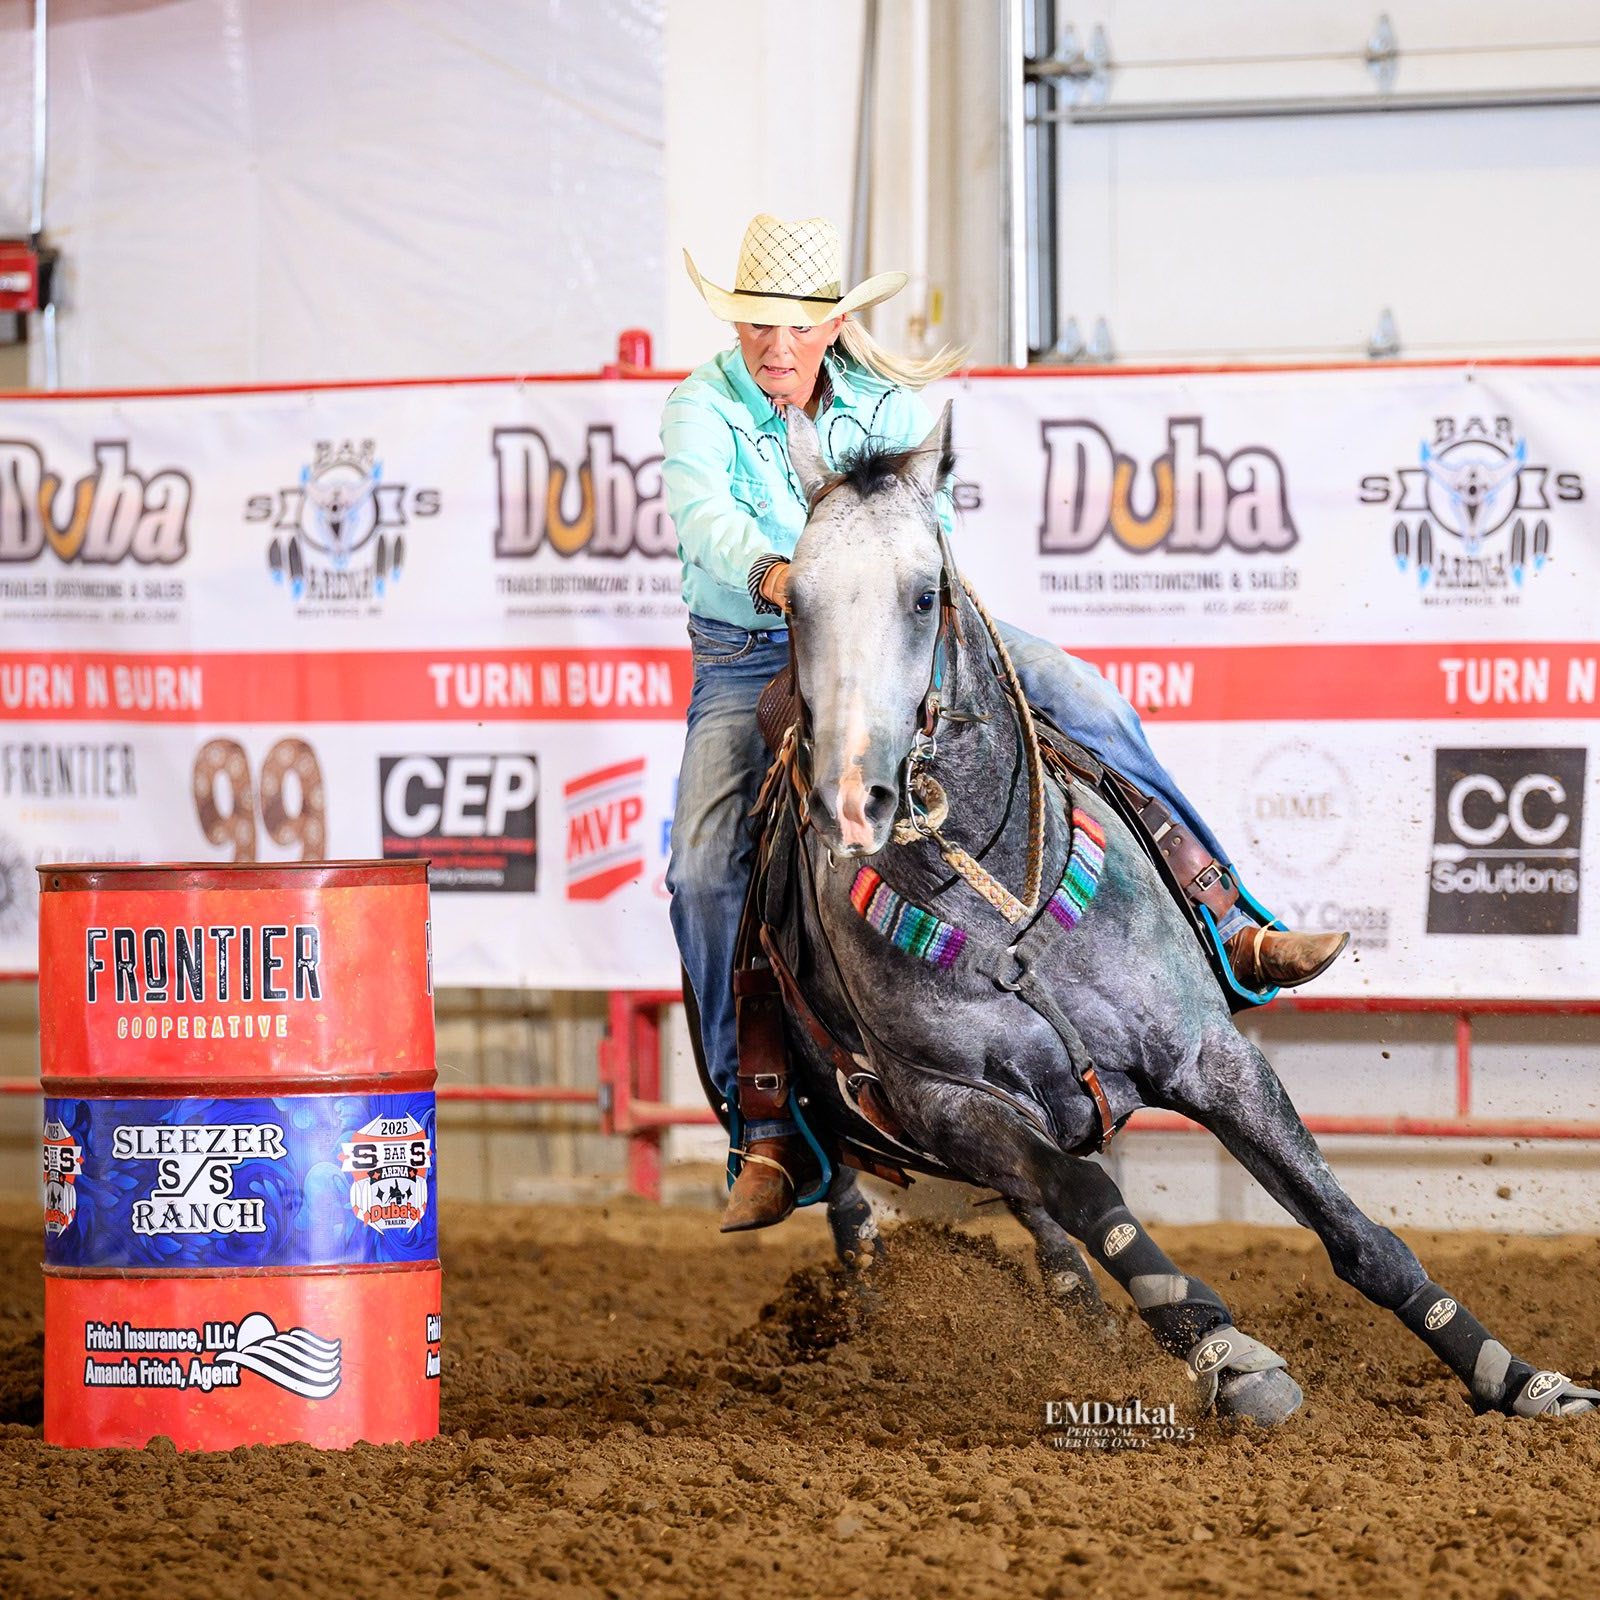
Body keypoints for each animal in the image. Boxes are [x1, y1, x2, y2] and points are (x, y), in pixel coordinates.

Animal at [732, 399, 1599, 1426]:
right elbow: (1090, 1196)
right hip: (831, 1123)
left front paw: (1513, 1377)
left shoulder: (1210, 1057)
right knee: (861, 1213)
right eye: (793, 603)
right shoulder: (949, 1104)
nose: (850, 801)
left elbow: (1356, 1235)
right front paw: (1227, 1351)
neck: (1003, 909)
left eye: (921, 594)